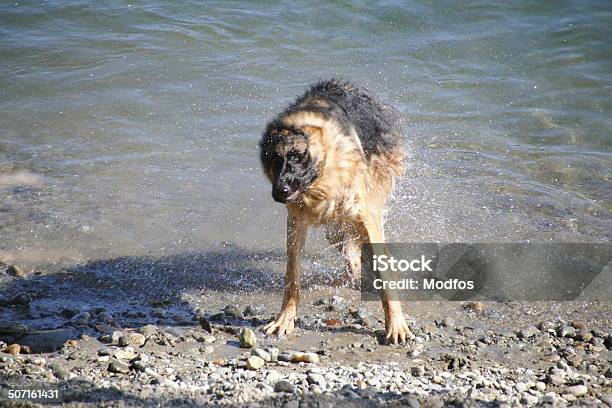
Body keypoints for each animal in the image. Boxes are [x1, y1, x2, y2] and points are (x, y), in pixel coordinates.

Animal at [258, 78, 412, 342]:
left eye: (299, 156)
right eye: (275, 159)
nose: (280, 192)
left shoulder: (365, 215)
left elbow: (384, 275)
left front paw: (396, 324)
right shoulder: (296, 222)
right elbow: (292, 274)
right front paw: (284, 318)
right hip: (335, 227)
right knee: (348, 250)